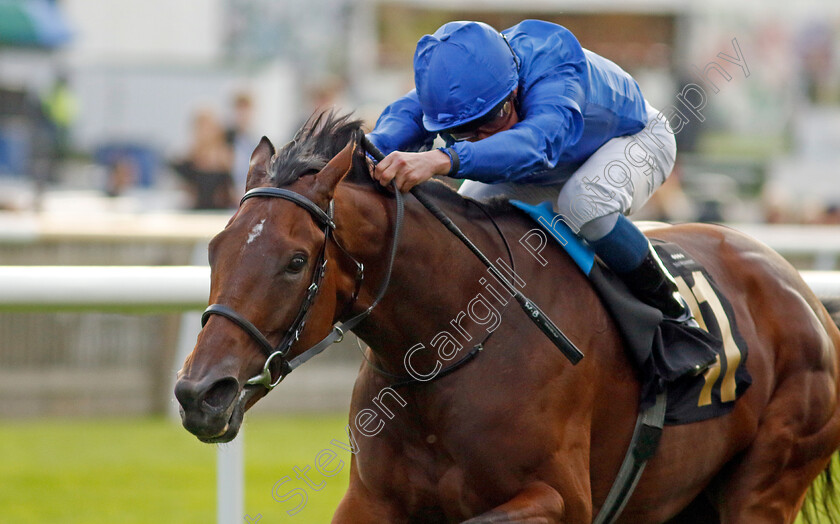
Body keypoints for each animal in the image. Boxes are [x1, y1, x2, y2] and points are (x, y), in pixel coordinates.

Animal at [174, 112, 840, 520]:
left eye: (294, 261)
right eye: (213, 248)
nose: (200, 393)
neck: (451, 349)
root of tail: (805, 295)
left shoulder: (561, 500)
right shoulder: (371, 500)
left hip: (766, 480)